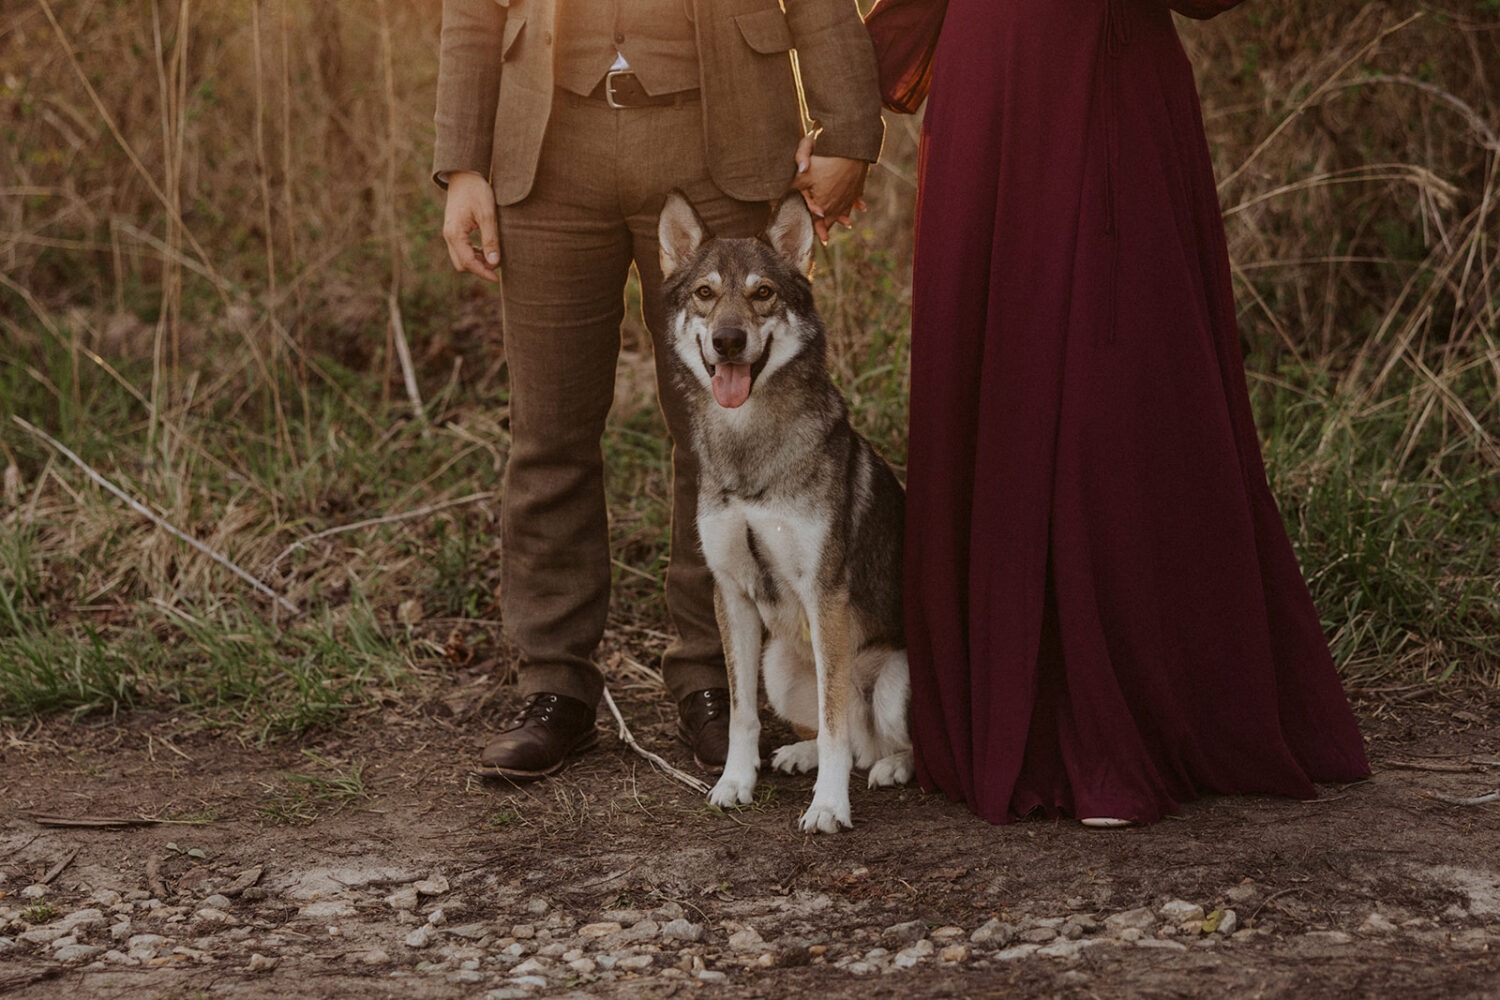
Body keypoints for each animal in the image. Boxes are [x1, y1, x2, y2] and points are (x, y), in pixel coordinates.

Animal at [660, 191, 912, 833]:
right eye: (705, 293)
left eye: (763, 293)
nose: (727, 340)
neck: (749, 446)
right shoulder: (732, 593)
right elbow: (742, 713)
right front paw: (734, 782)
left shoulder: (825, 596)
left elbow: (834, 720)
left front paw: (828, 807)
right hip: (778, 663)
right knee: (844, 736)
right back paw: (801, 754)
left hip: (892, 684)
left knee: (877, 741)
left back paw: (891, 767)